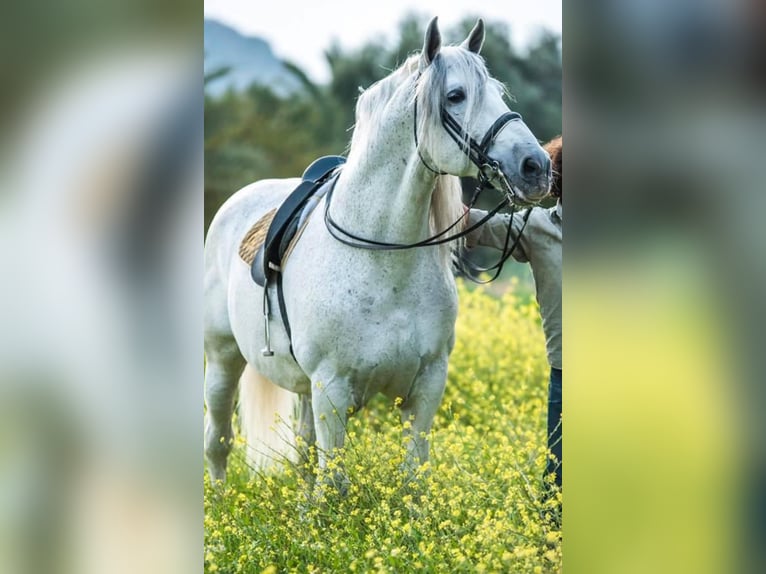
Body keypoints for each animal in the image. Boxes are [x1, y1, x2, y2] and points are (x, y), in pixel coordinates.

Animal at [204, 16, 552, 486]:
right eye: (456, 96)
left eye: (497, 92)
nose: (537, 167)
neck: (385, 261)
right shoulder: (332, 389)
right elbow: (334, 483)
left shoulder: (426, 387)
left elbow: (412, 476)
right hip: (222, 360)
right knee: (218, 442)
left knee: (301, 453)